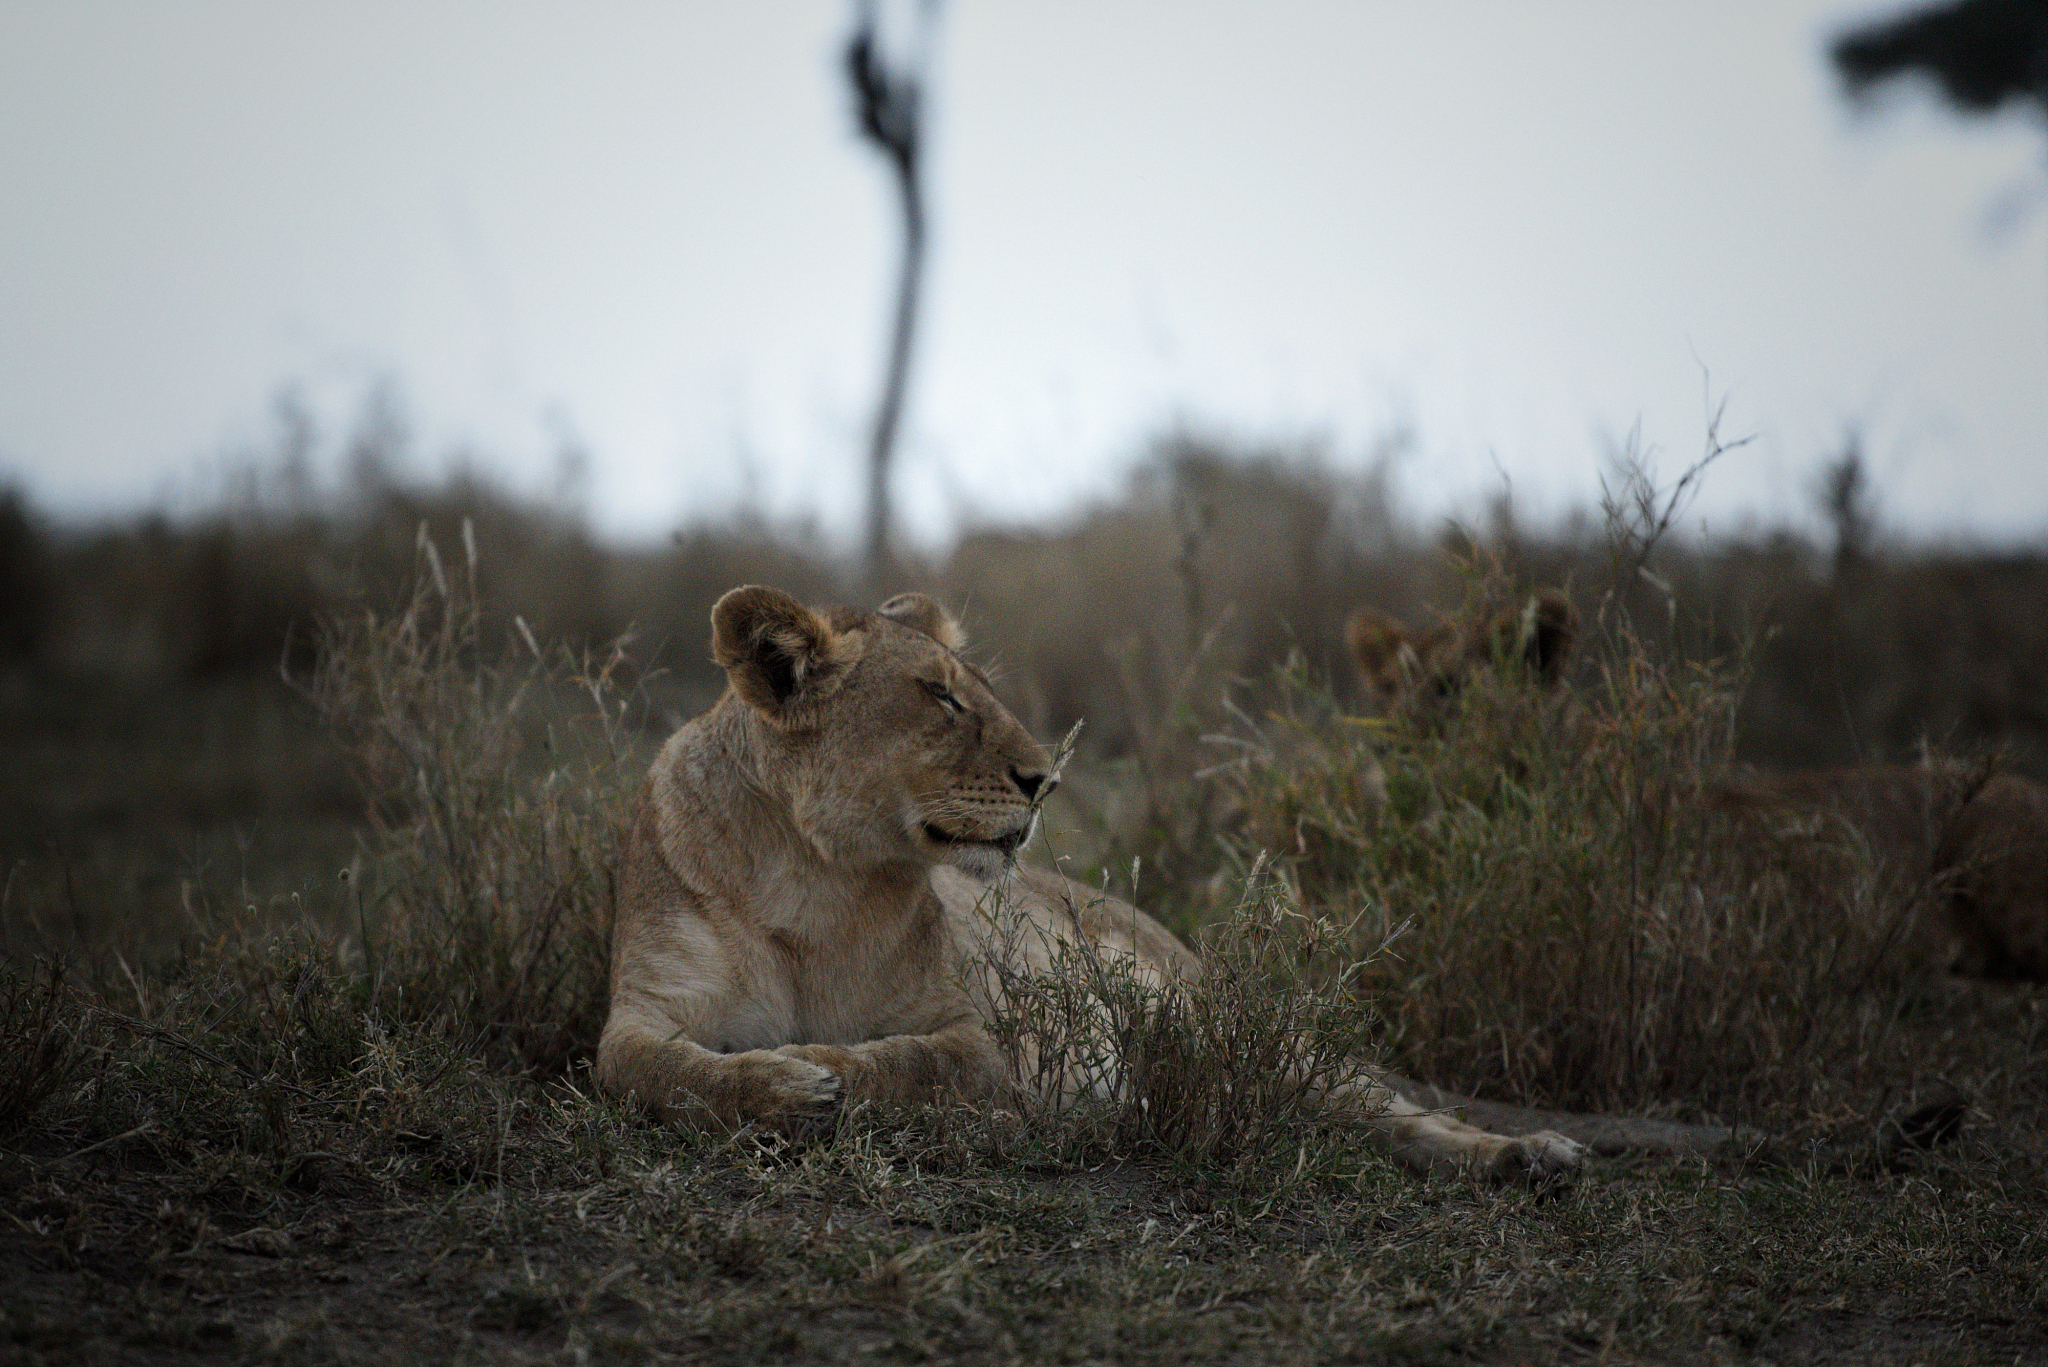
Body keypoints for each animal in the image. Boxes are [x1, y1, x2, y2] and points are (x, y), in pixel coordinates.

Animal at [596, 585, 1588, 1182]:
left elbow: (902, 1061)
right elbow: (653, 1069)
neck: (814, 876)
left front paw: (815, 1072)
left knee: (1394, 1112)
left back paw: (1532, 1155)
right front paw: (777, 1083)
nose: (1045, 778)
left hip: (1235, 1031)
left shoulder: (987, 1041)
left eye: (978, 688)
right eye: (940, 696)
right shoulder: (643, 1009)